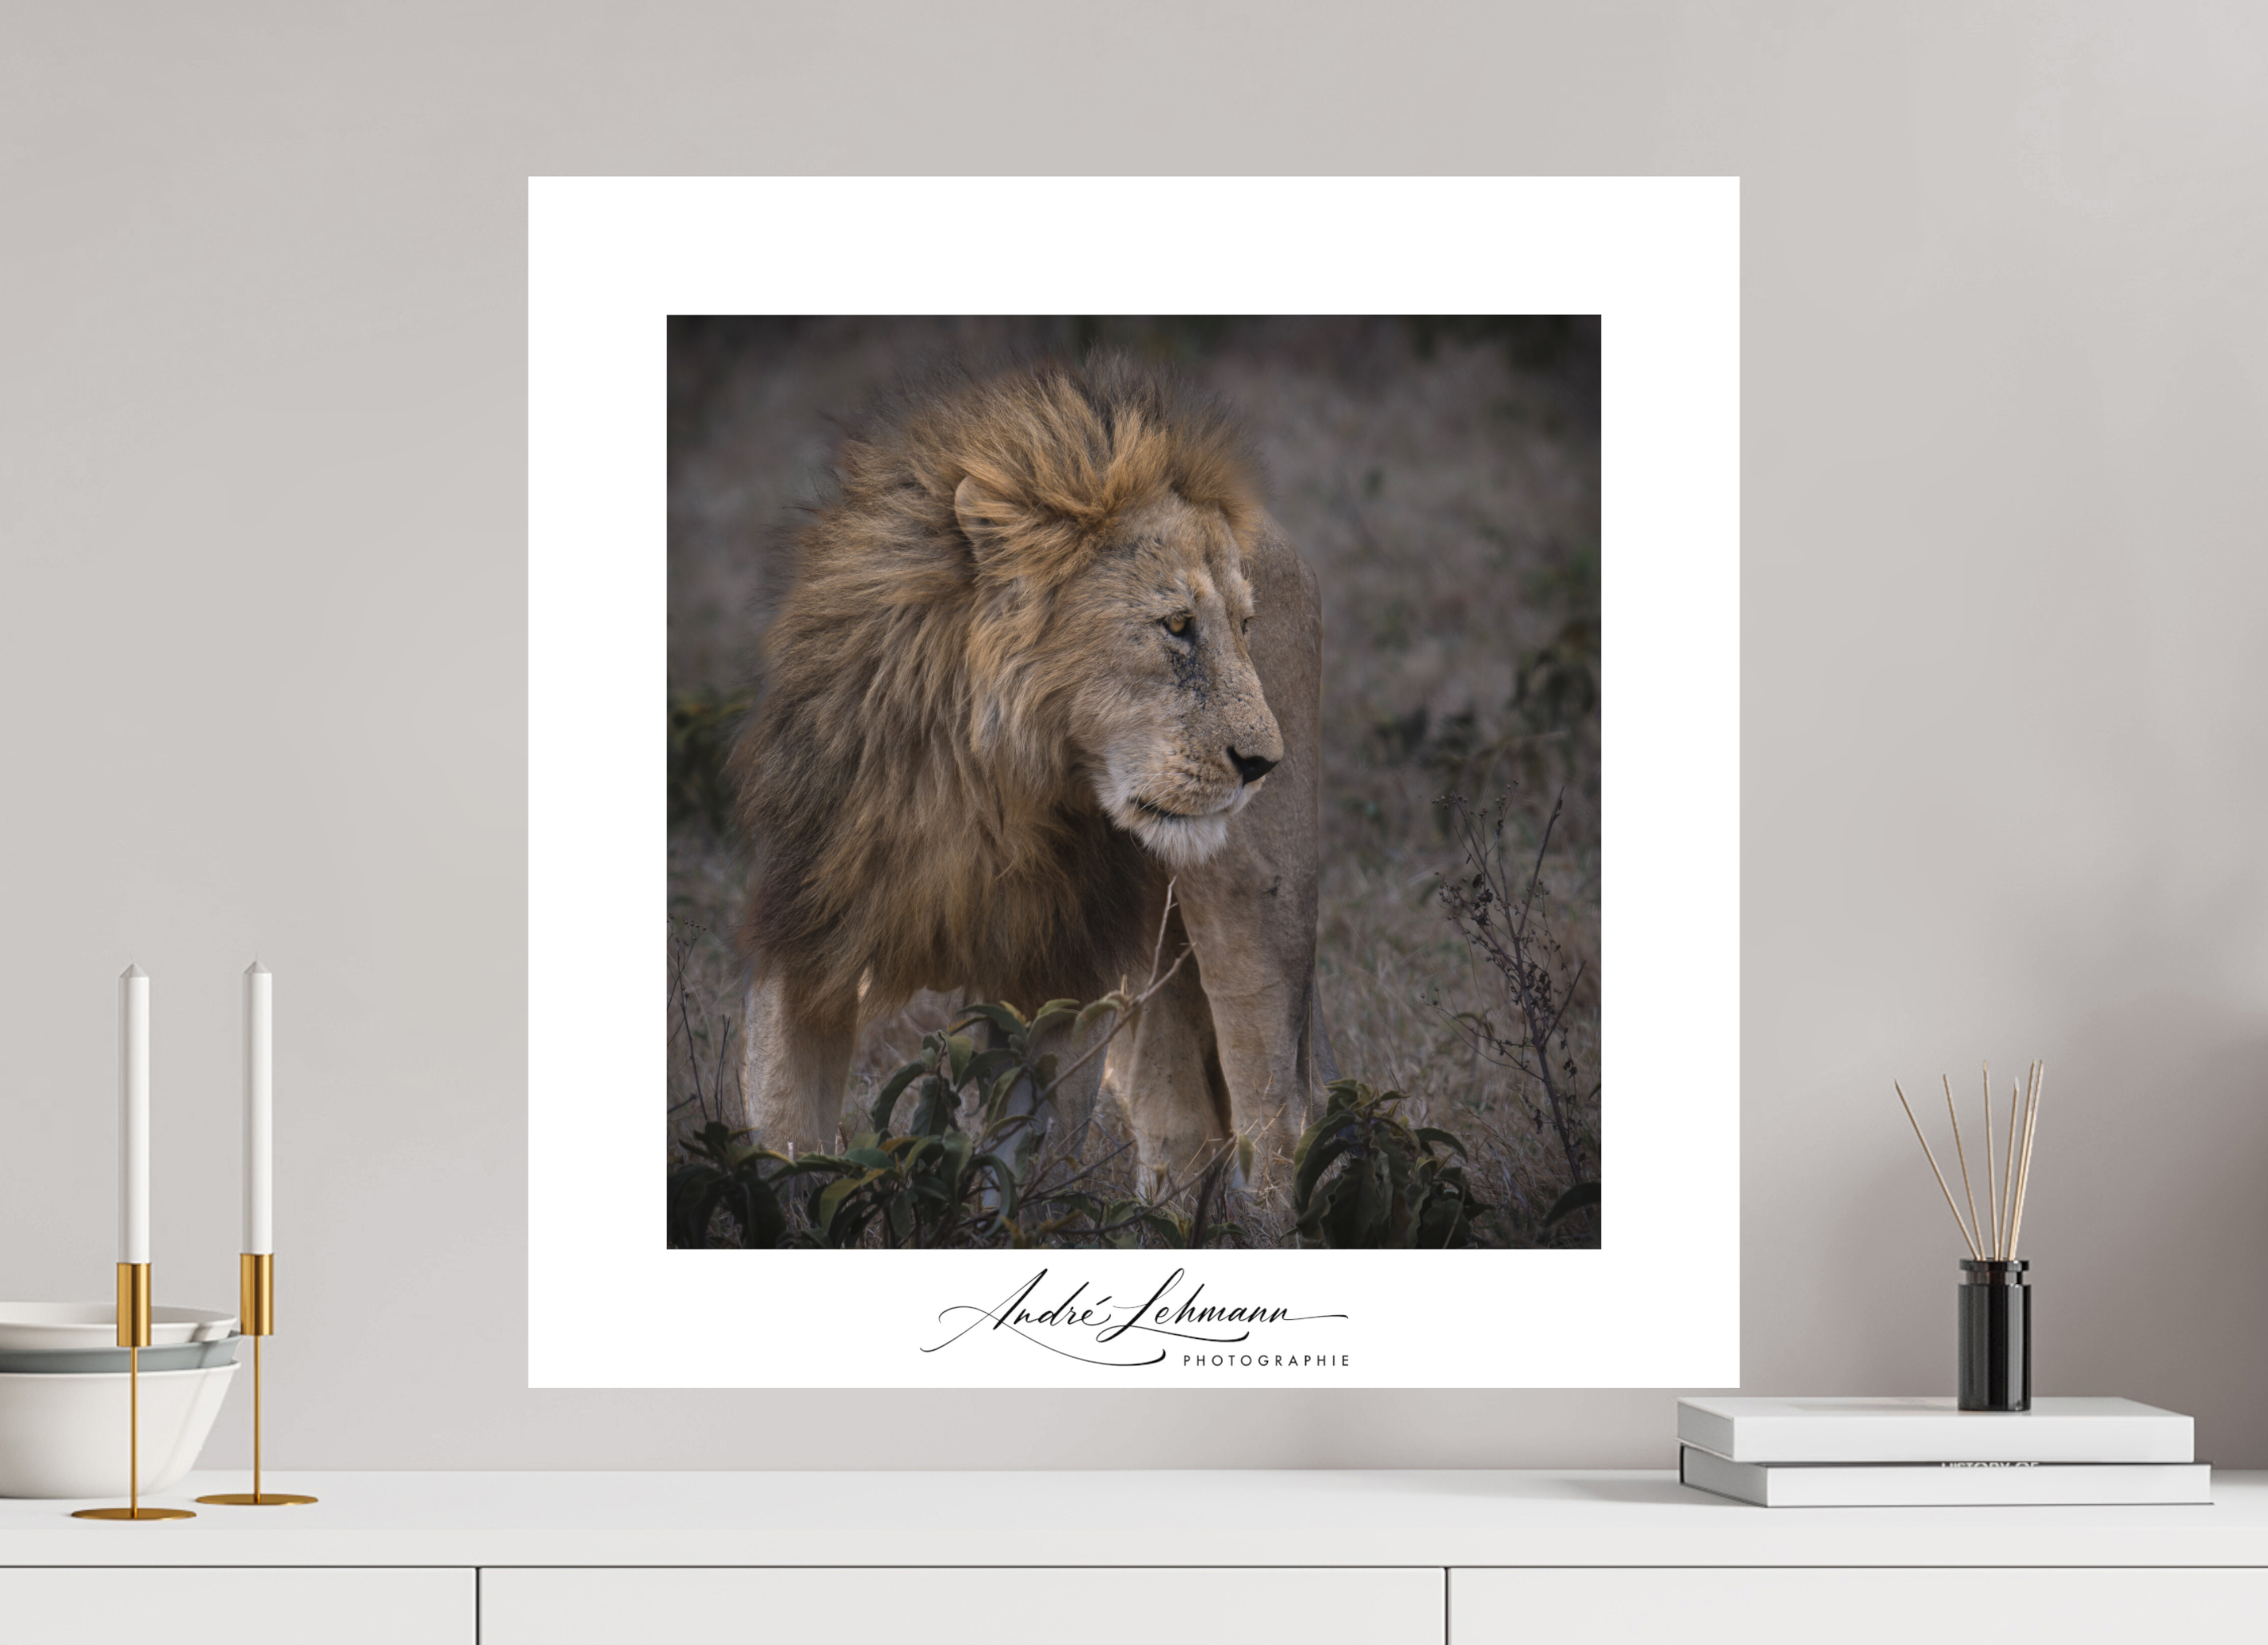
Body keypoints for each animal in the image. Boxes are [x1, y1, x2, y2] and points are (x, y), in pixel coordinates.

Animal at [728, 354, 1326, 1187]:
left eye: (1245, 628)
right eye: (1177, 626)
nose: (1263, 763)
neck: (978, 786)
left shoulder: (1055, 971)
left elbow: (1017, 1162)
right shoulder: (808, 930)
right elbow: (786, 1139)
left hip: (1258, 909)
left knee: (1272, 1116)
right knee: (1182, 1122)